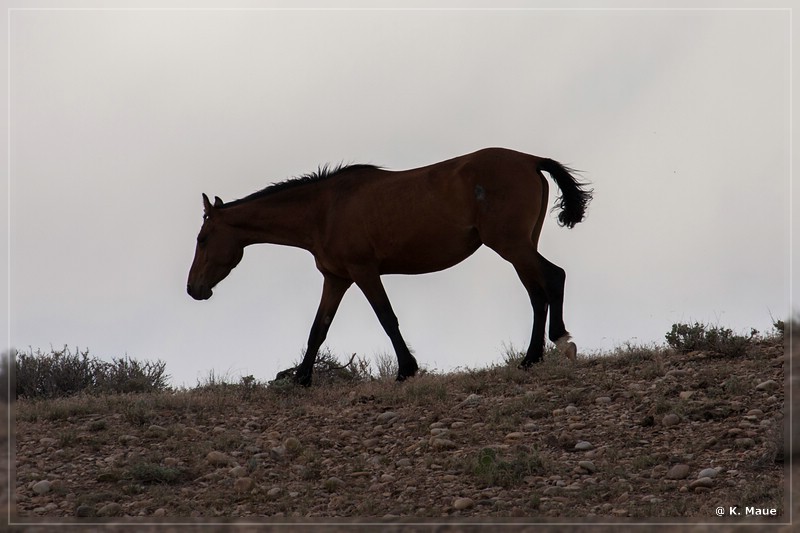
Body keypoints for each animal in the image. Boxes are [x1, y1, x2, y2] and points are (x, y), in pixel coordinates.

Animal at [184, 148, 592, 384]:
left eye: (202, 239)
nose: (193, 288)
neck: (324, 209)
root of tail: (529, 159)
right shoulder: (336, 279)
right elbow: (319, 329)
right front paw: (300, 379)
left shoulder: (364, 272)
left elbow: (386, 317)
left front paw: (406, 369)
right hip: (518, 246)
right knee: (537, 293)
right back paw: (531, 358)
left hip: (511, 244)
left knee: (553, 278)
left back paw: (560, 342)